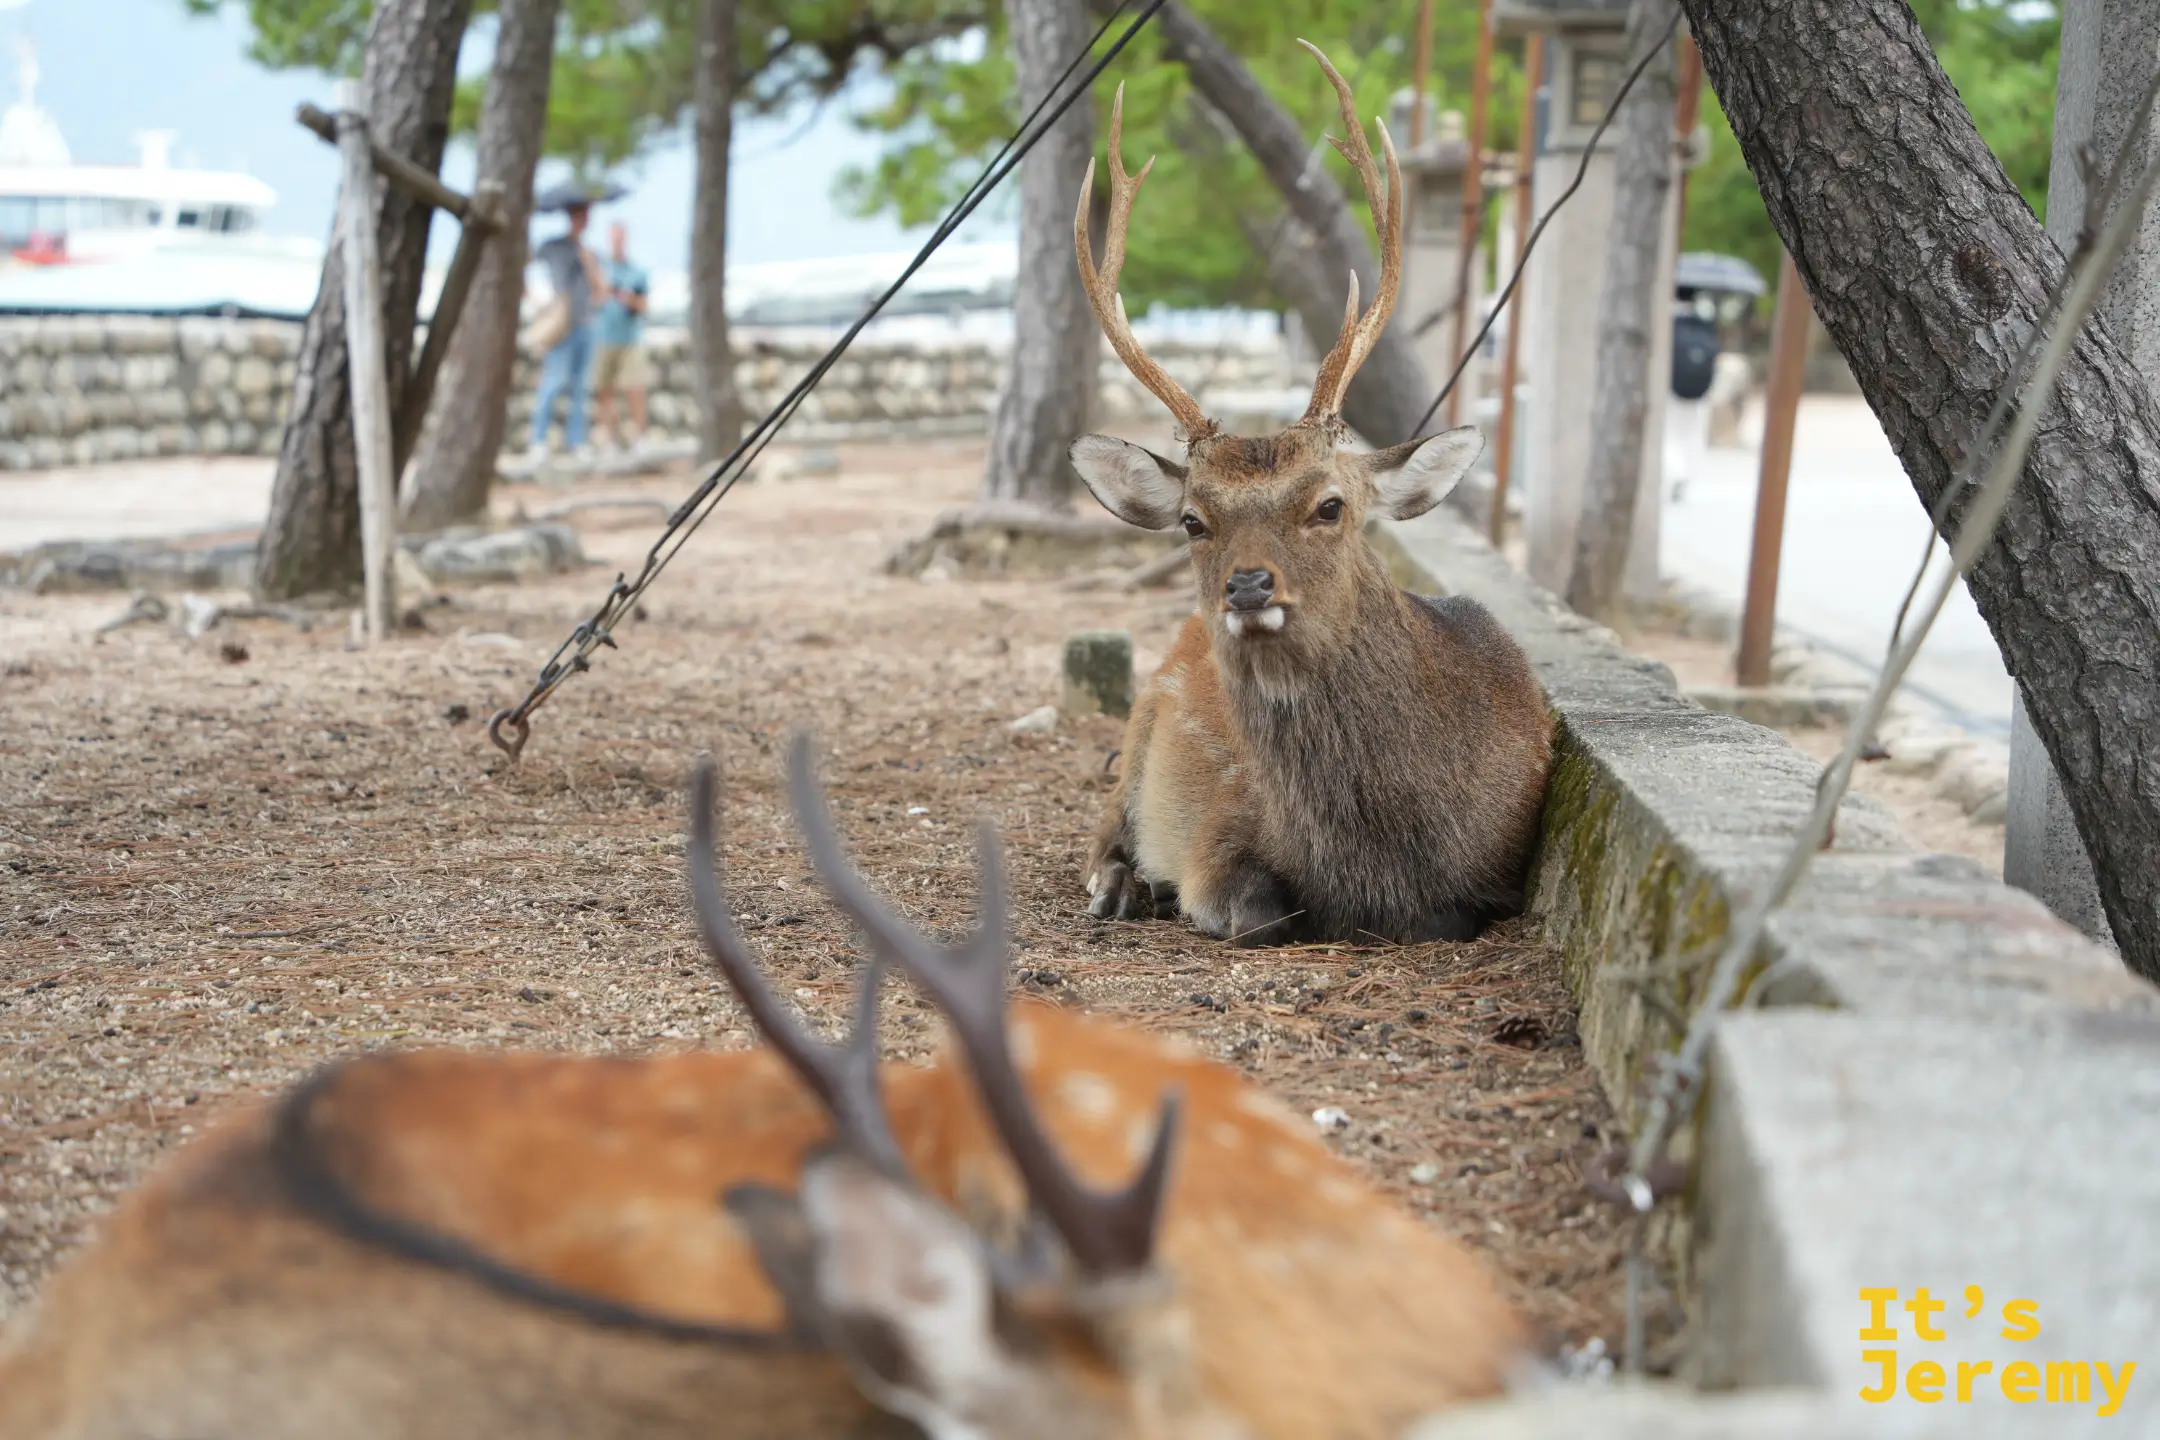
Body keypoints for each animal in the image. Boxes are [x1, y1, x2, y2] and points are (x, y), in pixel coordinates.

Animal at [1070, 45, 1553, 949]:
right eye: (1193, 520)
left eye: (1331, 506)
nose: (1249, 585)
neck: (1379, 855)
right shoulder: (1219, 837)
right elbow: (1260, 912)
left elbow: (1450, 914)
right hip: (1140, 721)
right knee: (1105, 825)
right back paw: (1119, 885)